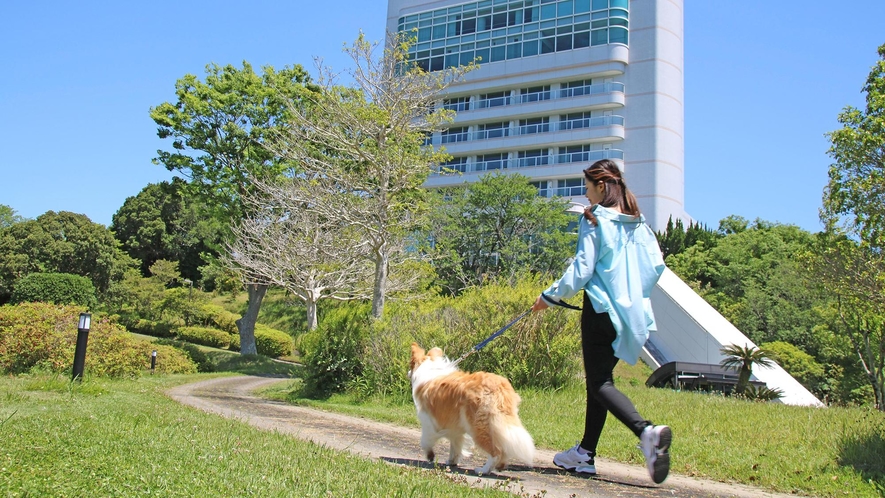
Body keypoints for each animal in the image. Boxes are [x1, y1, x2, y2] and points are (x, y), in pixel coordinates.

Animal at [406, 342, 532, 474]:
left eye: (411, 365)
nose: (407, 373)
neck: (428, 368)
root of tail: (498, 389)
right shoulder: (455, 427)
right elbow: (455, 446)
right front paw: (452, 461)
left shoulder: (428, 421)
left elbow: (425, 441)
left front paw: (430, 455)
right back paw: (500, 465)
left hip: (479, 427)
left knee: (496, 452)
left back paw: (483, 470)